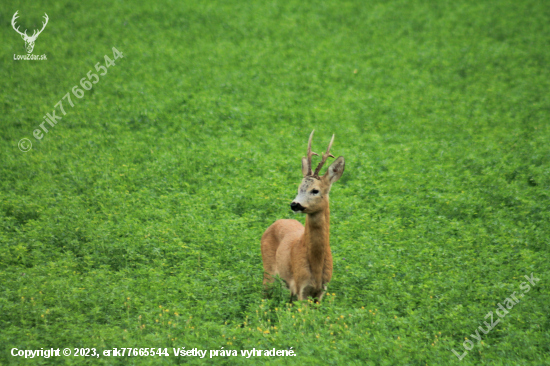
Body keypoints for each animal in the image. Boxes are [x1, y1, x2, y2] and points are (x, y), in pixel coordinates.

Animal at [262, 130, 344, 302]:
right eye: (299, 187)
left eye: (315, 190)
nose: (295, 204)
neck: (317, 265)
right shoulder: (301, 287)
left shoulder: (321, 291)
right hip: (269, 271)